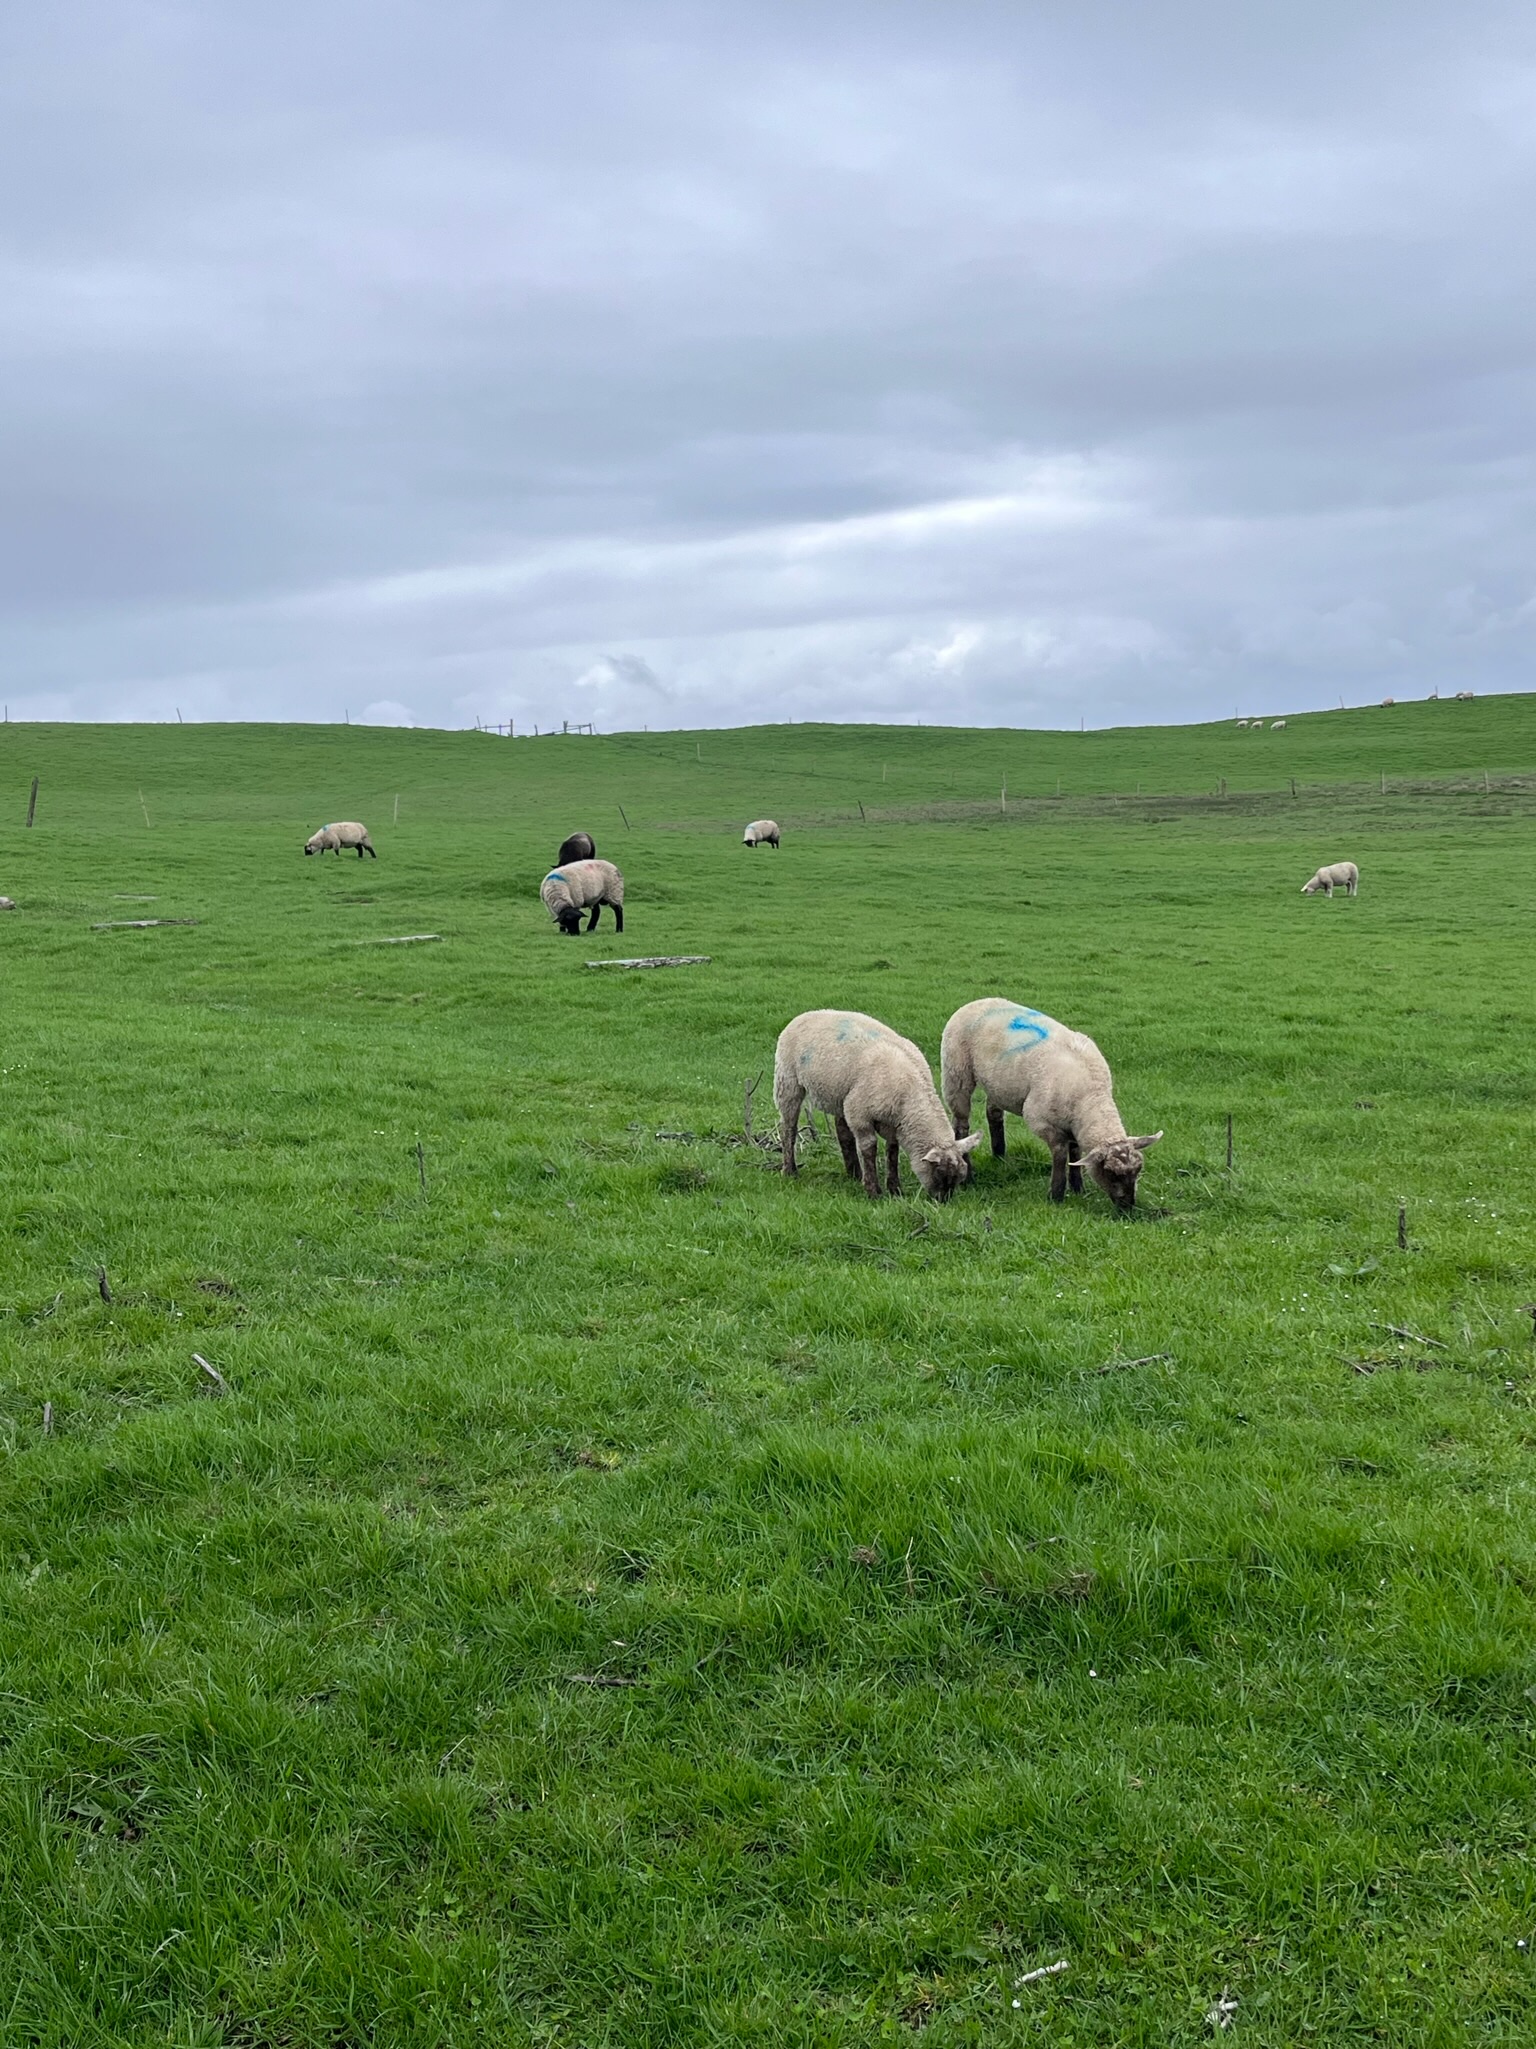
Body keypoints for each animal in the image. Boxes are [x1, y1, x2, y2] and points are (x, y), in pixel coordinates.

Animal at [774, 1008, 978, 1196]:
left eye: (958, 1178)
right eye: (939, 1173)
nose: (943, 1201)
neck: (910, 1093)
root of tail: (808, 1013)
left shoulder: (894, 1123)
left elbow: (892, 1151)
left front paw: (895, 1189)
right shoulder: (860, 1116)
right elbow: (869, 1149)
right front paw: (873, 1191)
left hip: (841, 1096)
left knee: (842, 1132)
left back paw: (854, 1173)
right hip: (788, 1081)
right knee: (788, 1128)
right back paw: (790, 1170)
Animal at [937, 999, 1163, 1204]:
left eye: (1138, 1170)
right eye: (1110, 1173)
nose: (1128, 1207)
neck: (1090, 1097)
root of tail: (976, 1001)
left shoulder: (1073, 1122)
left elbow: (1075, 1151)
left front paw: (1078, 1187)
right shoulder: (1042, 1120)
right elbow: (1061, 1154)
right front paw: (1056, 1195)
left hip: (996, 1083)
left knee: (993, 1113)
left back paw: (1000, 1155)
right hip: (957, 1073)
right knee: (961, 1125)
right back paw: (969, 1177)